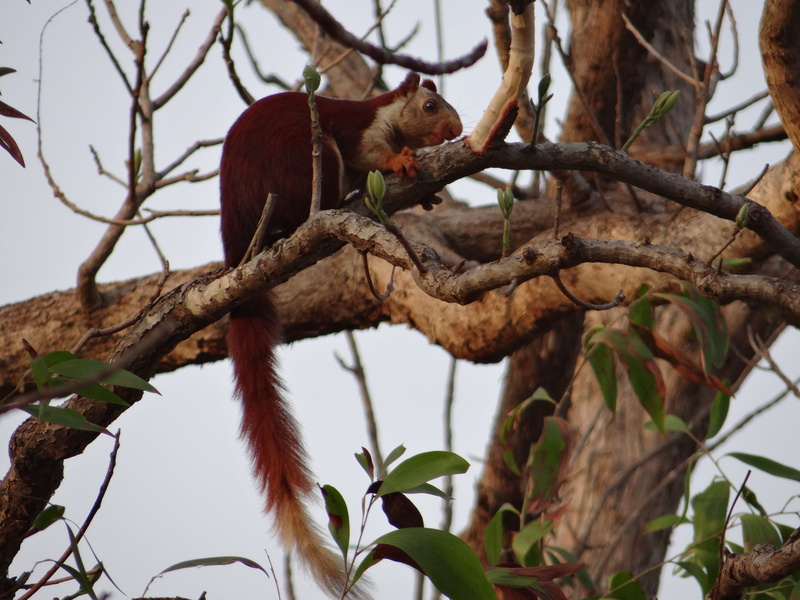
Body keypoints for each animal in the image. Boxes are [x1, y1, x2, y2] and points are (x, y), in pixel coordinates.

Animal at [219, 72, 462, 597]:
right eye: (430, 106)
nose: (455, 130)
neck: (389, 115)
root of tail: (238, 239)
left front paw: (428, 195)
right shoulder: (358, 131)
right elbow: (368, 155)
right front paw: (400, 160)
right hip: (303, 159)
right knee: (318, 193)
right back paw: (332, 205)